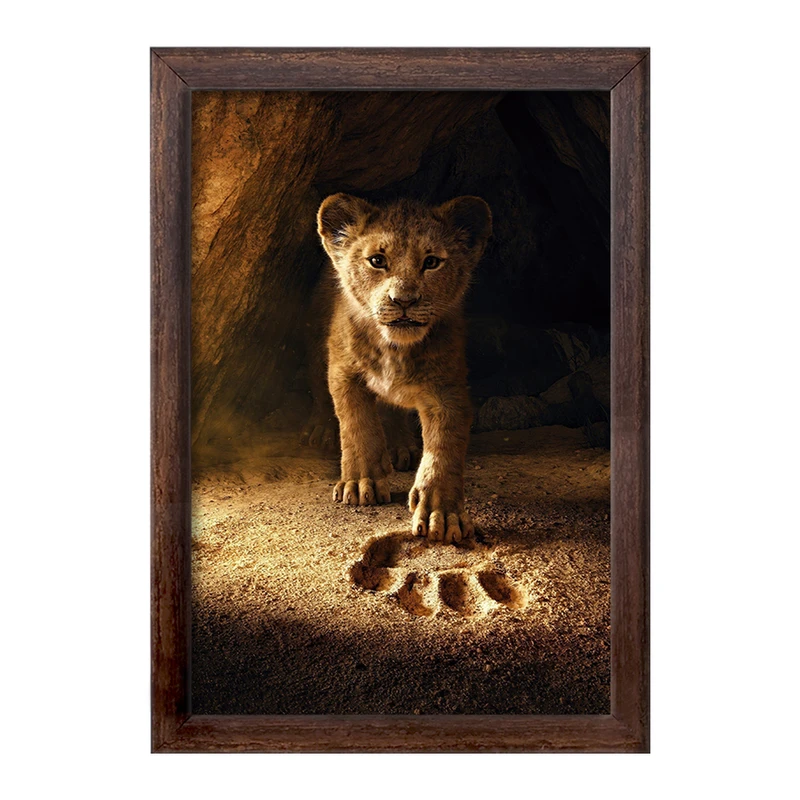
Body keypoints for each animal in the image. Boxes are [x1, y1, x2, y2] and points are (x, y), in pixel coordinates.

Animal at [316, 193, 492, 543]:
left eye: (432, 262)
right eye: (377, 260)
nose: (404, 300)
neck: (395, 349)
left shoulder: (447, 389)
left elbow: (444, 447)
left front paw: (442, 513)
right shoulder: (343, 371)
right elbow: (357, 425)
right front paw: (361, 482)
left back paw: (401, 448)